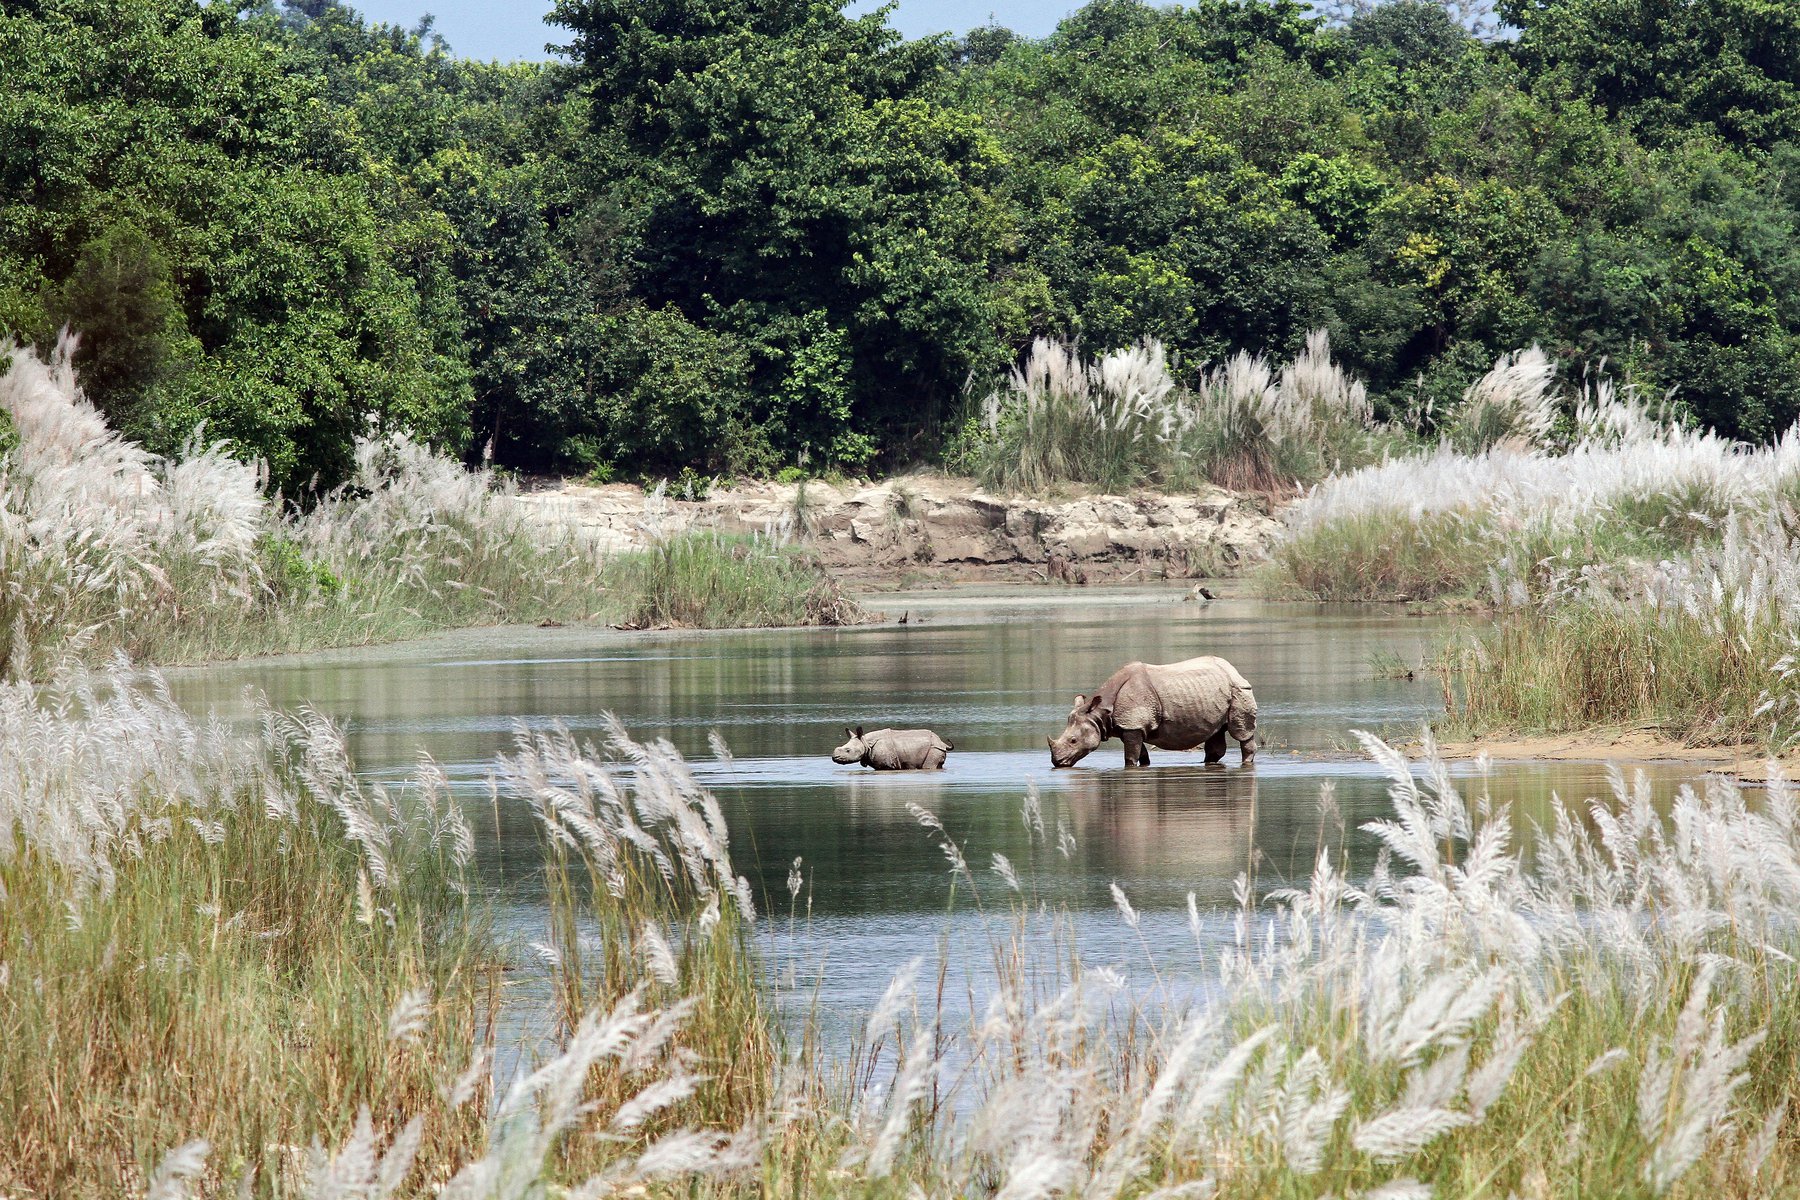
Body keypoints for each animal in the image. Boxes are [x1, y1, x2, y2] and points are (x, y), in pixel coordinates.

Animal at [1051, 658, 1260, 770]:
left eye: (1073, 741)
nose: (1057, 762)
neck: (1099, 711)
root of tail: (1233, 670)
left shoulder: (1133, 725)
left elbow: (1130, 757)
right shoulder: (1131, 726)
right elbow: (1142, 754)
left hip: (1239, 690)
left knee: (1240, 732)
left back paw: (1245, 763)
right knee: (1216, 732)